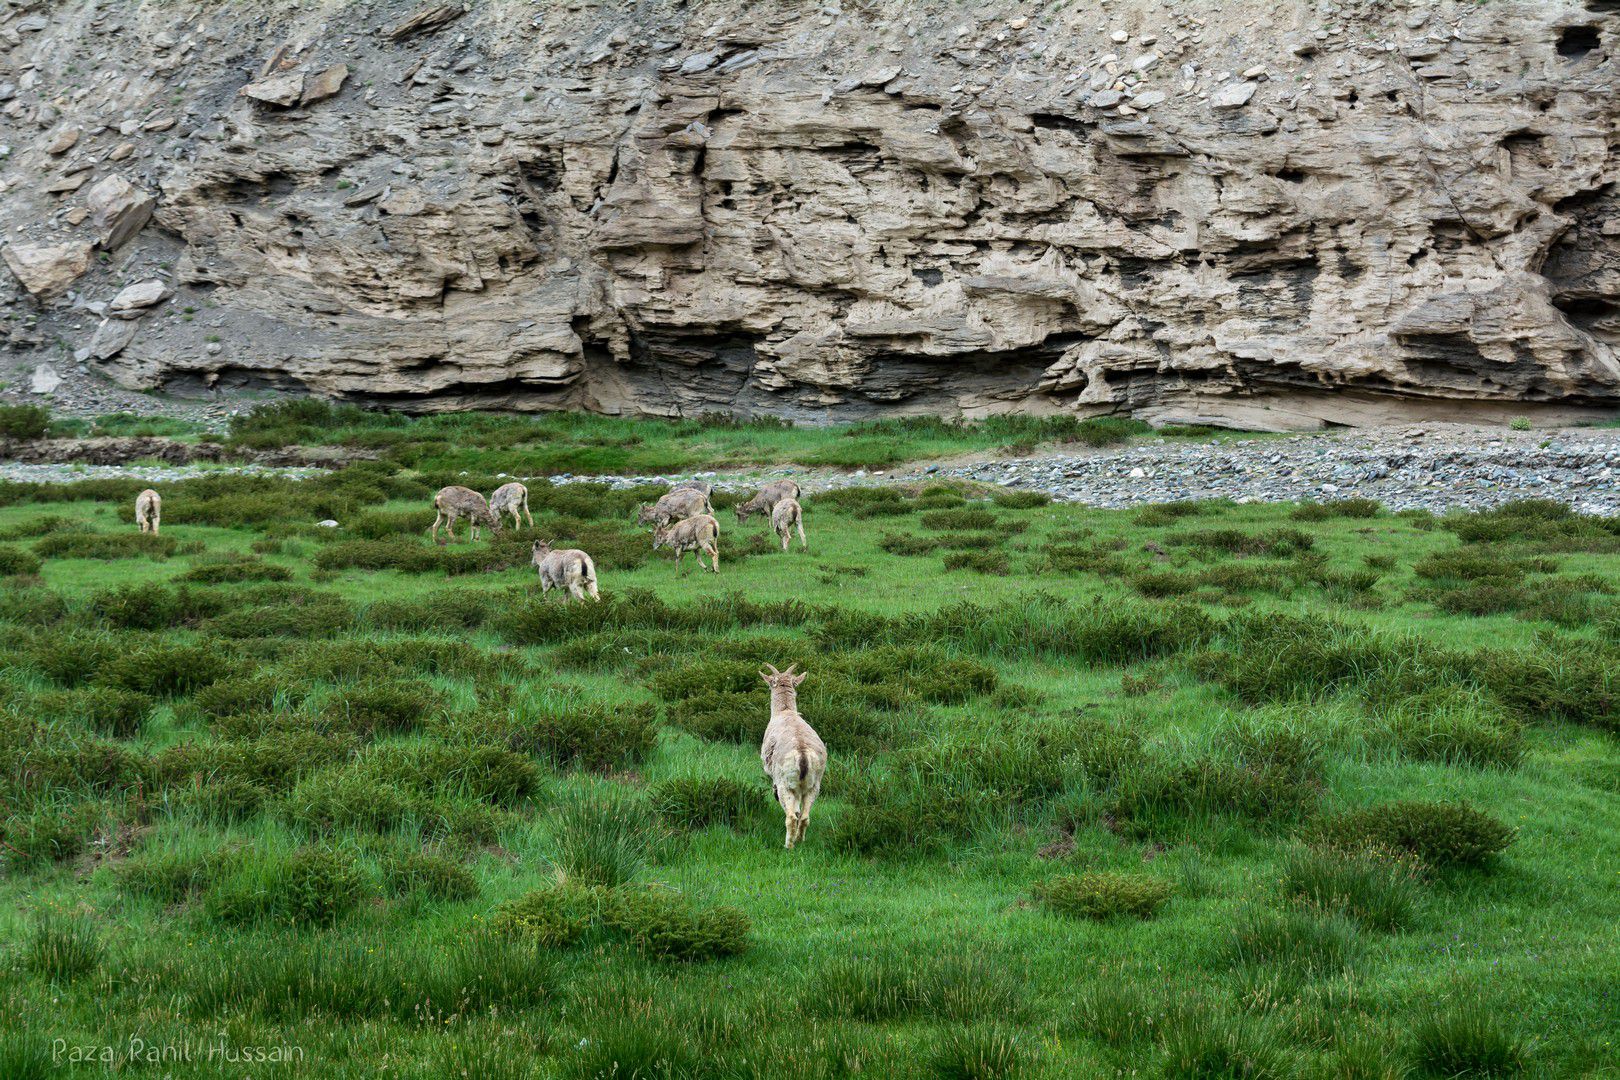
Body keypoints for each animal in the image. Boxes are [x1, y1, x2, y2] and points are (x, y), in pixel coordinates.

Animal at [758, 663, 829, 848]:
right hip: (813, 786)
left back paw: (788, 846)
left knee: (791, 817)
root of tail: (803, 755)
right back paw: (800, 840)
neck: (785, 712)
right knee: (804, 817)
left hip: (786, 784)